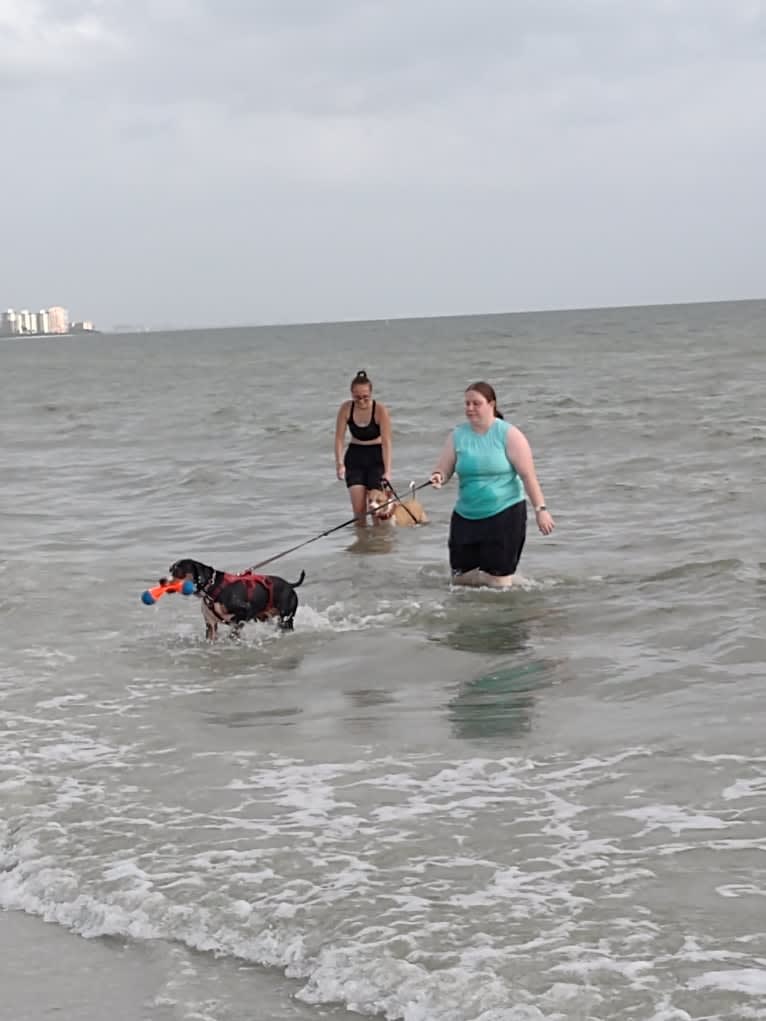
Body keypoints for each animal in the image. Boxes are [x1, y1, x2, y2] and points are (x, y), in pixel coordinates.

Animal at [170, 559, 306, 637]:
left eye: (178, 572)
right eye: (170, 570)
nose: (164, 581)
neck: (212, 587)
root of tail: (290, 585)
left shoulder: (244, 612)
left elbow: (234, 629)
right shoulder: (211, 624)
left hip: (286, 619)